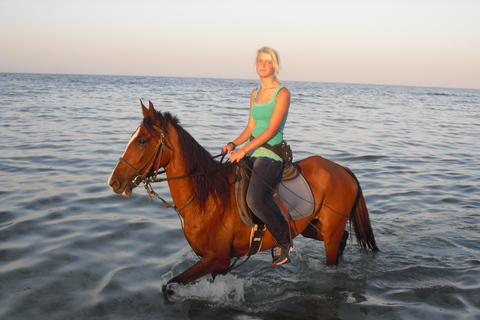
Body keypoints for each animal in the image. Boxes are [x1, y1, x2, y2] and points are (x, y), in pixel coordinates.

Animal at [108, 101, 378, 288]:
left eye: (142, 141)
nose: (114, 182)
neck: (207, 198)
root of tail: (341, 169)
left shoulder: (217, 258)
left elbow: (171, 286)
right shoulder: (215, 264)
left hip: (329, 230)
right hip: (311, 227)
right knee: (342, 238)